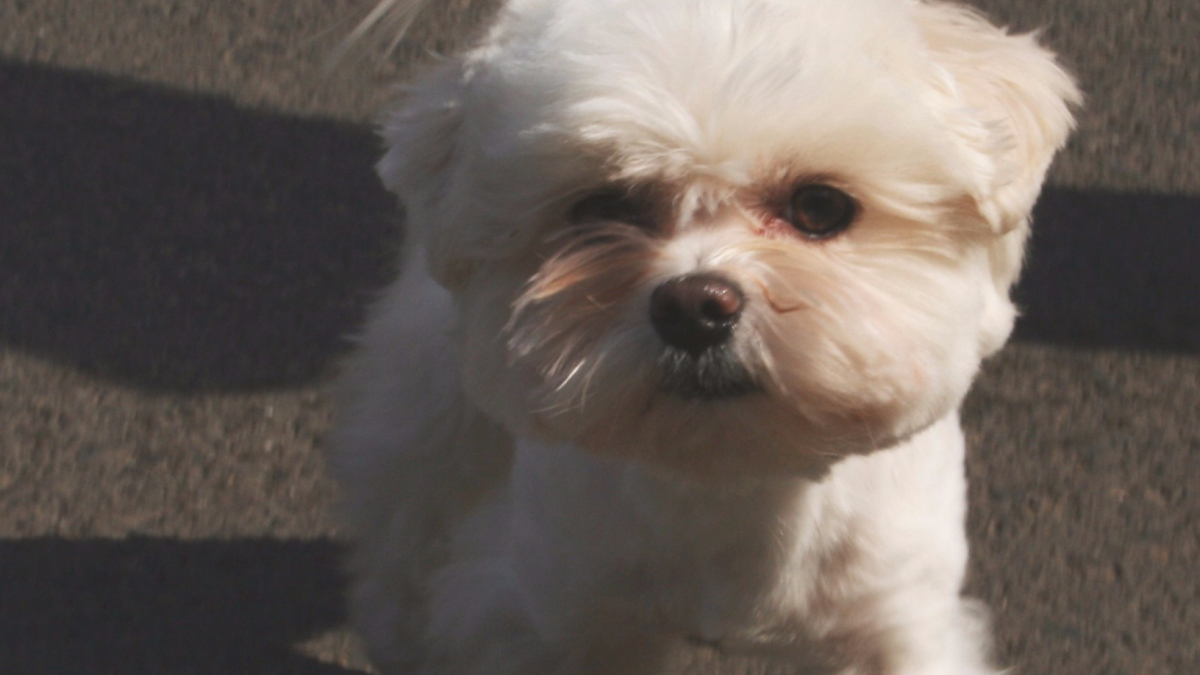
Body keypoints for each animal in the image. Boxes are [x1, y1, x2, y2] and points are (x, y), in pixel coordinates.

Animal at [326, 2, 1080, 667]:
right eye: (601, 208)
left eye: (820, 206)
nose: (694, 306)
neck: (731, 479)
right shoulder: (557, 615)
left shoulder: (896, 613)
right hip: (428, 404)